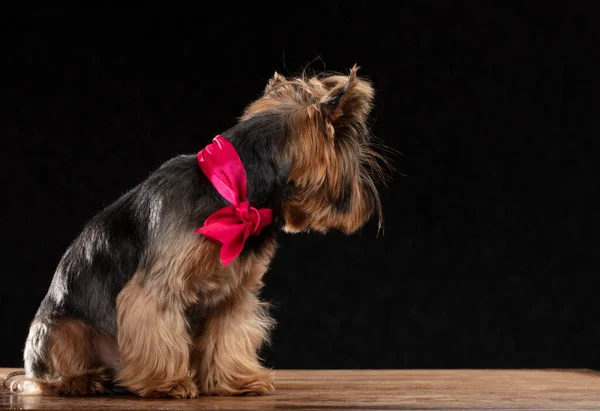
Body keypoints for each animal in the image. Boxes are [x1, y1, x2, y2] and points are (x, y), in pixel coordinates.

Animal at [8, 65, 390, 400]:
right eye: (360, 161)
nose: (368, 203)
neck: (235, 193)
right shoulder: (157, 289)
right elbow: (158, 328)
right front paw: (168, 384)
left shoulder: (233, 295)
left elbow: (227, 337)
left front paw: (235, 381)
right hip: (60, 330)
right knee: (44, 378)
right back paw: (82, 381)